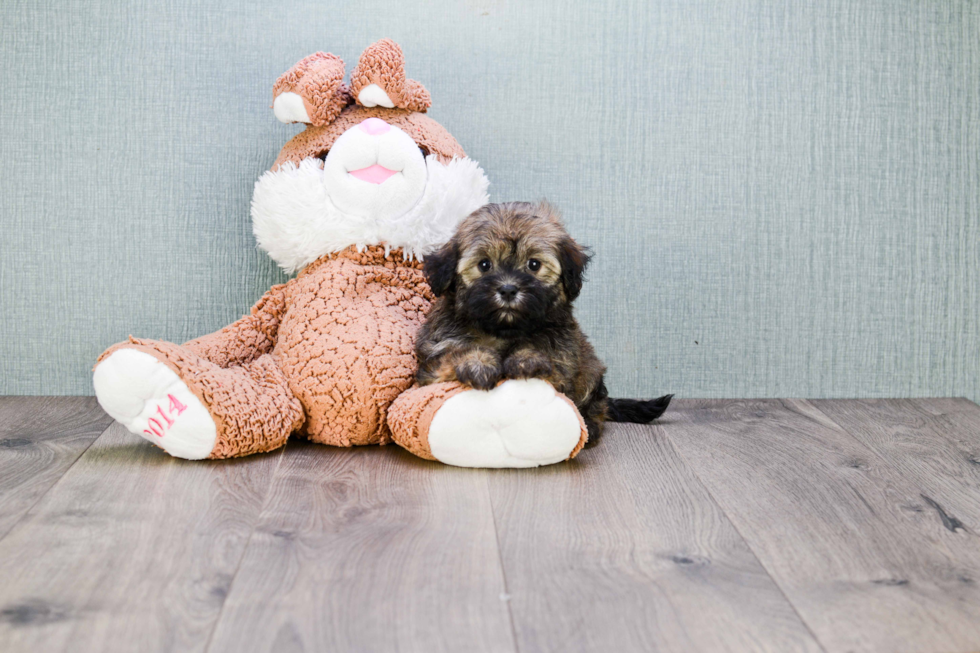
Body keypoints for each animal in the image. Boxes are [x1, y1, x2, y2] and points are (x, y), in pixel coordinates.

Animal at [414, 201, 672, 446]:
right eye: (484, 265)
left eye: (534, 265)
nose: (508, 289)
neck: (504, 331)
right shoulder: (433, 363)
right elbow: (454, 354)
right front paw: (477, 363)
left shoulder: (563, 362)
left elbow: (545, 355)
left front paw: (527, 359)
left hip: (591, 371)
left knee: (596, 405)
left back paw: (589, 425)